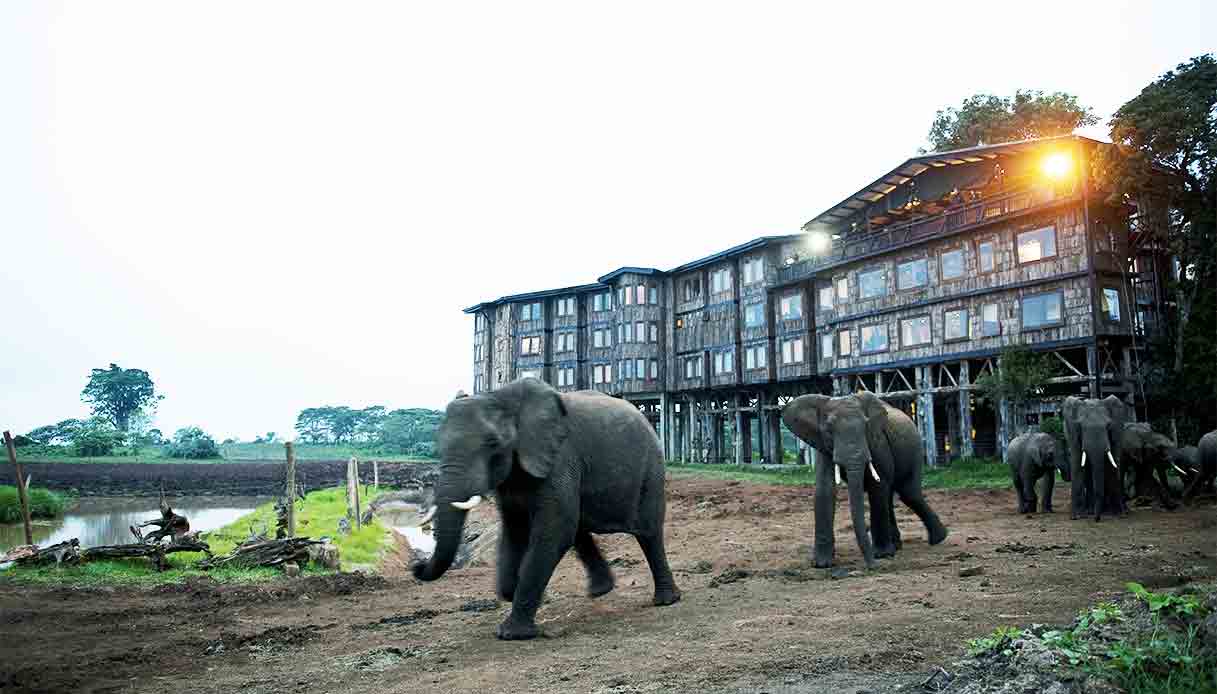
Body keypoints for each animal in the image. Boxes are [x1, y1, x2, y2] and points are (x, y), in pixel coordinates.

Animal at [406, 377, 676, 637]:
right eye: (439, 445)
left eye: (493, 443)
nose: (416, 565)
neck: (501, 396)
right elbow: (514, 530)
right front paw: (513, 593)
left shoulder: (560, 458)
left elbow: (551, 531)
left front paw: (512, 634)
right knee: (578, 529)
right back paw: (600, 591)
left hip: (651, 468)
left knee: (648, 532)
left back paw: (666, 601)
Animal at [783, 389, 944, 567]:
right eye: (829, 430)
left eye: (866, 426)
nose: (872, 566)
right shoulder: (823, 444)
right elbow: (825, 489)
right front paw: (821, 564)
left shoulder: (878, 442)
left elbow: (877, 485)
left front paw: (882, 555)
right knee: (892, 496)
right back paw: (898, 546)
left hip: (915, 450)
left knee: (908, 493)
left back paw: (937, 540)